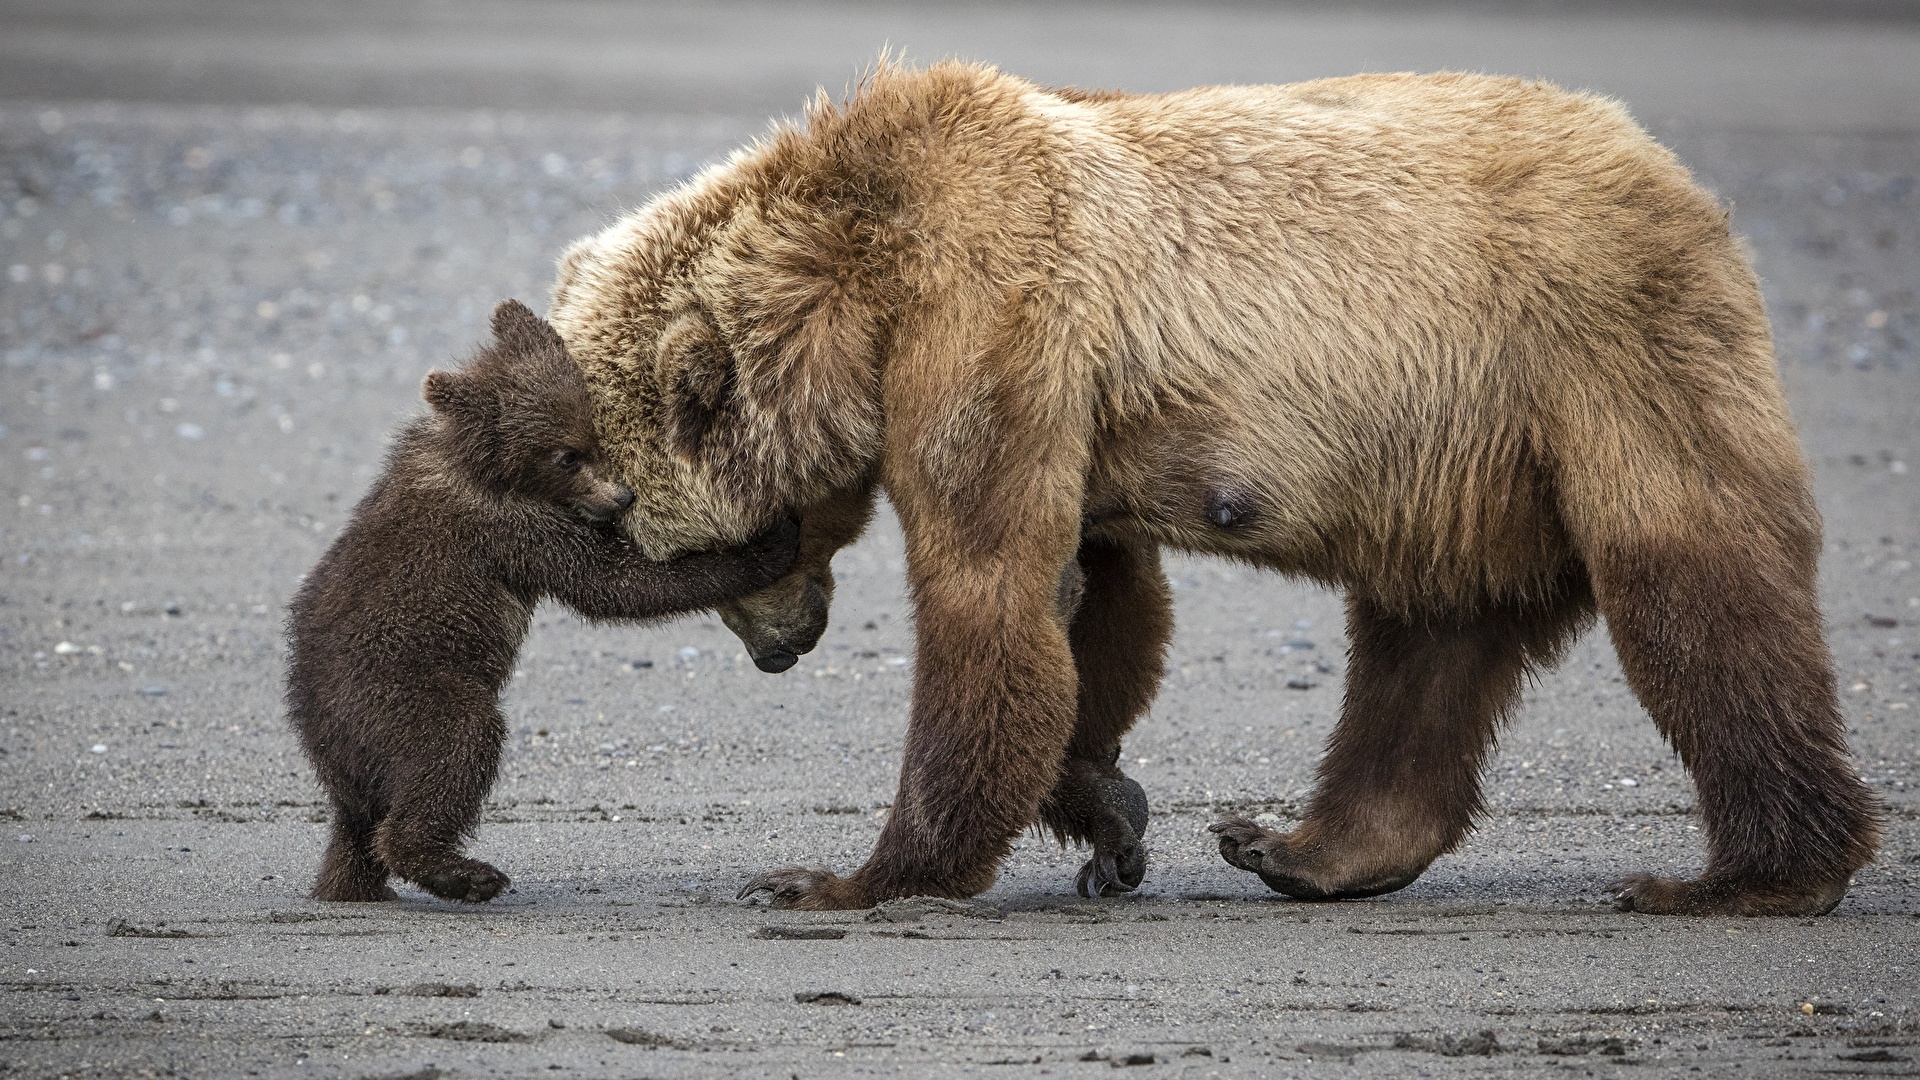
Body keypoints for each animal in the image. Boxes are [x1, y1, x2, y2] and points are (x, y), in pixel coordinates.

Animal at [549, 62, 1881, 910]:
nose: (782, 650)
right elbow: (1094, 606)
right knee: (1429, 638)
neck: (856, 281)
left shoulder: (992, 318)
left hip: (1595, 351)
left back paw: (1752, 876)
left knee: (1695, 584)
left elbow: (990, 592)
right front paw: (1108, 815)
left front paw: (845, 876)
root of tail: (1672, 171)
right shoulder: (1067, 397)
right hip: (1457, 460)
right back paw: (1303, 847)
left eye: (693, 552)